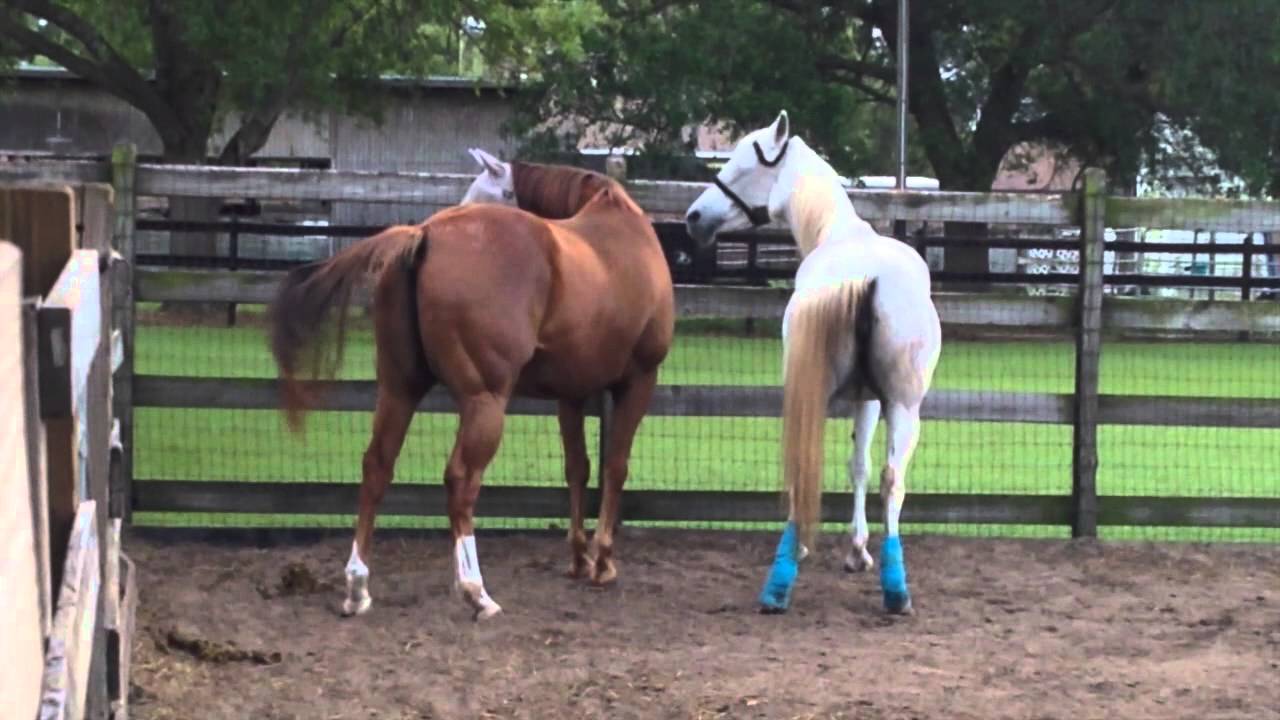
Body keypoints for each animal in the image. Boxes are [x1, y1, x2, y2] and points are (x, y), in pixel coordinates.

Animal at [267, 153, 674, 619]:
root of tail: (425, 235)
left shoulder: (571, 393)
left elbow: (578, 469)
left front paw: (578, 557)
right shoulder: (638, 380)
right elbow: (615, 467)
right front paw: (603, 560)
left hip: (399, 390)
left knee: (376, 467)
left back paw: (358, 587)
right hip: (485, 403)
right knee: (461, 481)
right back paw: (476, 591)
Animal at [684, 111, 941, 615]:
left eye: (744, 165)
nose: (694, 218)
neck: (837, 232)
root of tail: (866, 277)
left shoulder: (865, 400)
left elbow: (856, 464)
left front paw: (856, 551)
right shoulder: (870, 400)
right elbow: (860, 465)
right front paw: (858, 551)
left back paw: (786, 581)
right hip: (903, 406)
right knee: (891, 479)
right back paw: (892, 588)